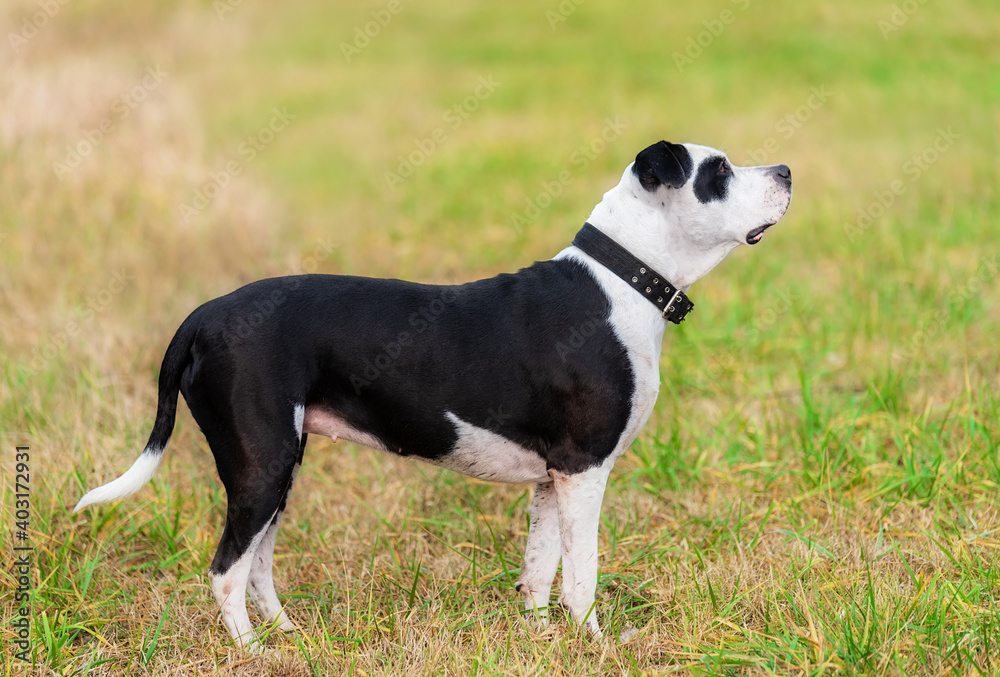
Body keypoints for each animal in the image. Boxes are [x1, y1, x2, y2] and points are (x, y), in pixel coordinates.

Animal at [74, 141, 792, 648]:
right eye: (718, 171)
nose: (786, 170)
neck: (621, 281)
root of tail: (203, 316)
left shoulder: (551, 479)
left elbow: (539, 570)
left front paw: (538, 641)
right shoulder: (585, 470)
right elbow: (581, 574)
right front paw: (596, 644)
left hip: (277, 468)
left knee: (255, 565)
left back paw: (288, 636)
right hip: (262, 466)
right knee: (227, 569)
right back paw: (253, 651)